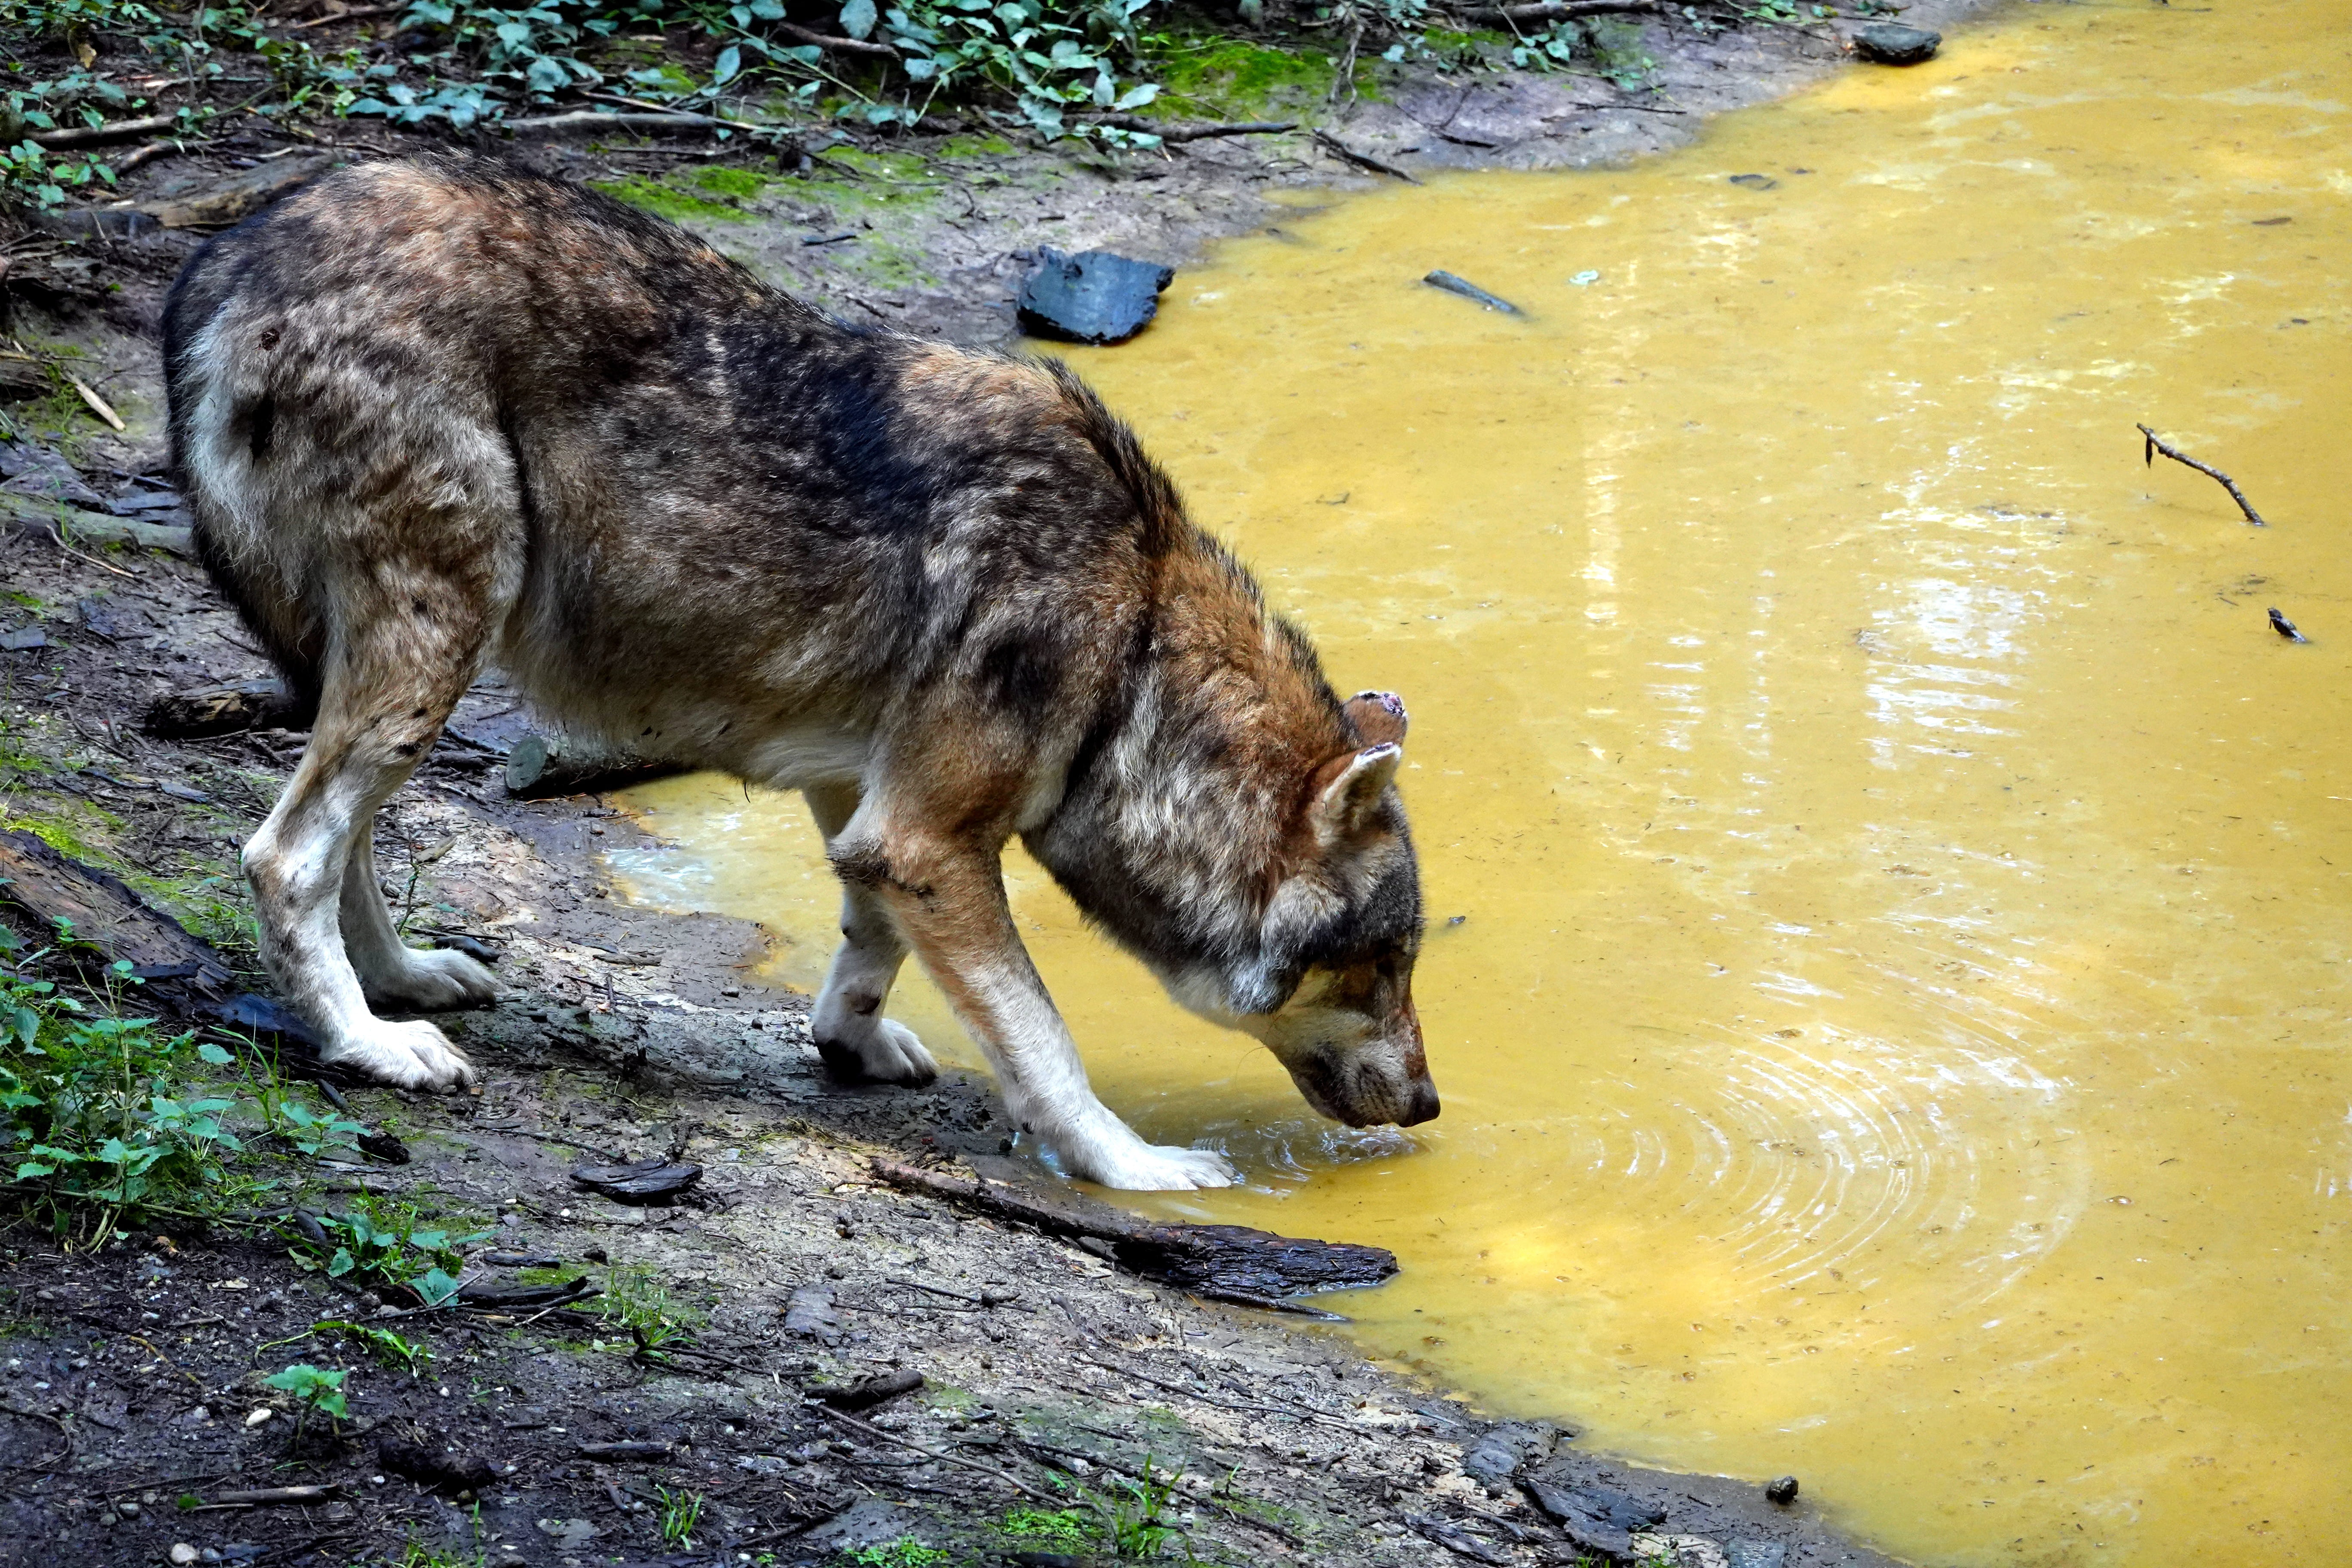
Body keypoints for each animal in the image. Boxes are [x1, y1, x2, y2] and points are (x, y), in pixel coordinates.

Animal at [163, 154, 1436, 1190]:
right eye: (1382, 965)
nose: (1429, 1104)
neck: (1134, 638)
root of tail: (230, 257)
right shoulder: (928, 838)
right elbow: (1044, 1039)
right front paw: (1132, 1164)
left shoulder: (868, 809)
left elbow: (868, 943)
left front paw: (850, 1045)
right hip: (435, 651)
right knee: (285, 854)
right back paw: (370, 1046)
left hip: (395, 674)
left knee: (345, 844)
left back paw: (406, 982)